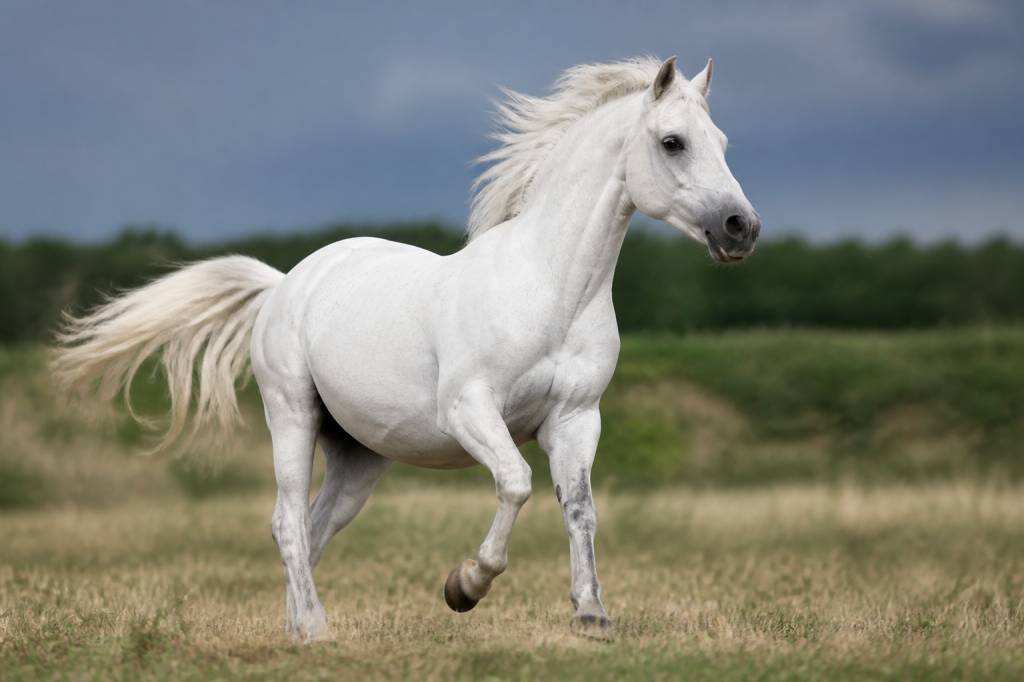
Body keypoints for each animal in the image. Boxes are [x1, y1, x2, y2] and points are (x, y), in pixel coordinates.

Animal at [52, 56, 760, 642]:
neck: (549, 289)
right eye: (672, 142)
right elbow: (516, 484)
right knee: (286, 521)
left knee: (314, 527)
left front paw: (592, 616)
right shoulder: (471, 411)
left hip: (359, 457)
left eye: (724, 143)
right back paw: (316, 630)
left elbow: (580, 509)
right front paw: (464, 587)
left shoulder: (577, 420)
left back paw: (298, 628)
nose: (741, 229)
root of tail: (283, 284)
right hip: (291, 416)